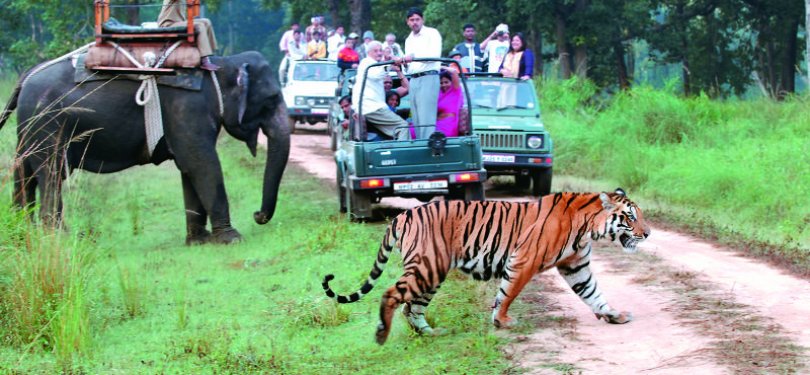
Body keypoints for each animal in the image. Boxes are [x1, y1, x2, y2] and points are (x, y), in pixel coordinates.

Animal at [0, 51, 290, 245]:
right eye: (271, 99)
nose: (257, 215)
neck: (222, 64)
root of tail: (25, 77)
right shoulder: (188, 108)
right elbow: (201, 163)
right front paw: (232, 239)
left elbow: (189, 168)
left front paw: (199, 241)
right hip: (48, 124)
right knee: (51, 172)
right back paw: (62, 238)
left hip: (29, 128)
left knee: (24, 174)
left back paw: (24, 233)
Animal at [322, 189, 652, 346]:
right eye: (630, 217)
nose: (648, 233)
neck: (588, 227)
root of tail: (403, 215)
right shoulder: (524, 261)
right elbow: (508, 292)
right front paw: (502, 321)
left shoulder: (576, 267)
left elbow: (593, 293)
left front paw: (614, 315)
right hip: (427, 267)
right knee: (392, 295)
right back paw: (381, 334)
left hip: (432, 271)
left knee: (411, 307)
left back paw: (431, 333)